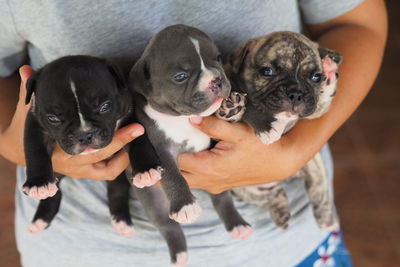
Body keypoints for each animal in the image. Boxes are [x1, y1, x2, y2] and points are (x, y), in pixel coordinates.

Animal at [128, 24, 253, 239]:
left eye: (218, 58)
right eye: (180, 77)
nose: (217, 80)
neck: (182, 120)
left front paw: (233, 109)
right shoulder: (162, 149)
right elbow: (171, 174)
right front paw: (185, 205)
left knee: (222, 199)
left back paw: (238, 225)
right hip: (153, 199)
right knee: (167, 225)